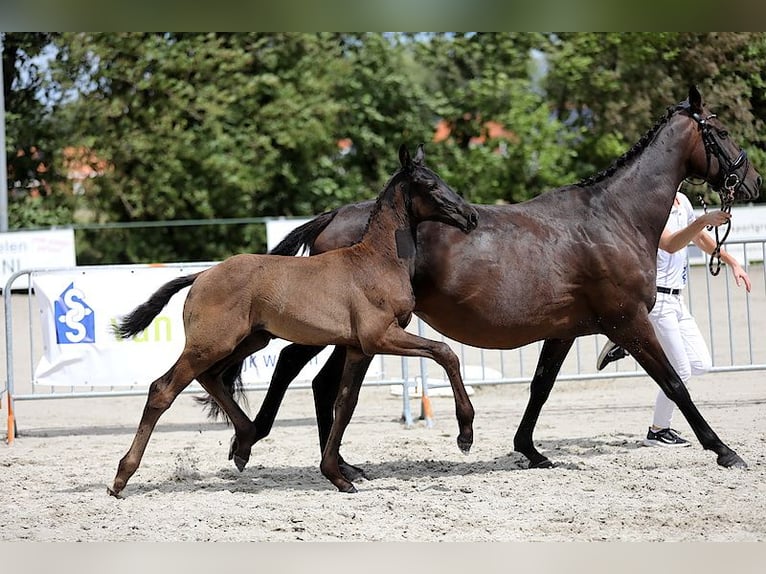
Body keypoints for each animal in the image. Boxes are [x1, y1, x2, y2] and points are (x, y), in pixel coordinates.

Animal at [108, 145, 480, 500]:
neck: (377, 262)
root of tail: (201, 275)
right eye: (430, 185)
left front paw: (337, 476)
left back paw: (244, 442)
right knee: (162, 389)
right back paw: (121, 478)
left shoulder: (358, 349)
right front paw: (465, 434)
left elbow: (345, 404)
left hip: (250, 340)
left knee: (211, 377)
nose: (472, 216)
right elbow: (446, 352)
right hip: (211, 344)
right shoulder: (381, 337)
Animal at [228, 86, 760, 482]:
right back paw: (252, 443)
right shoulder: (627, 321)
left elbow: (541, 387)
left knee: (319, 380)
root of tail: (336, 215)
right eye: (723, 131)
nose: (752, 180)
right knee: (293, 365)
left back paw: (340, 464)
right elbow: (675, 383)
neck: (613, 218)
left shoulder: (565, 330)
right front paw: (724, 450)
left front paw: (531, 450)